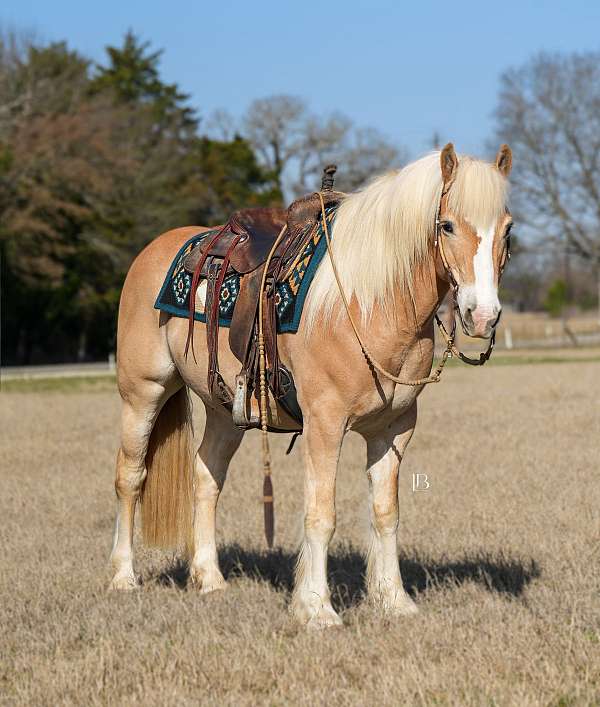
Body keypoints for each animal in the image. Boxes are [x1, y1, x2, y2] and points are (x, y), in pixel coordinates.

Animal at [110, 143, 513, 629]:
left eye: (508, 230)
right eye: (447, 225)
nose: (483, 315)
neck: (367, 300)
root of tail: (155, 250)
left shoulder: (395, 429)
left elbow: (386, 513)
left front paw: (393, 599)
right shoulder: (325, 423)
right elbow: (321, 515)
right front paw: (317, 608)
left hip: (225, 410)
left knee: (206, 478)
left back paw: (209, 578)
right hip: (143, 393)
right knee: (130, 477)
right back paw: (123, 577)